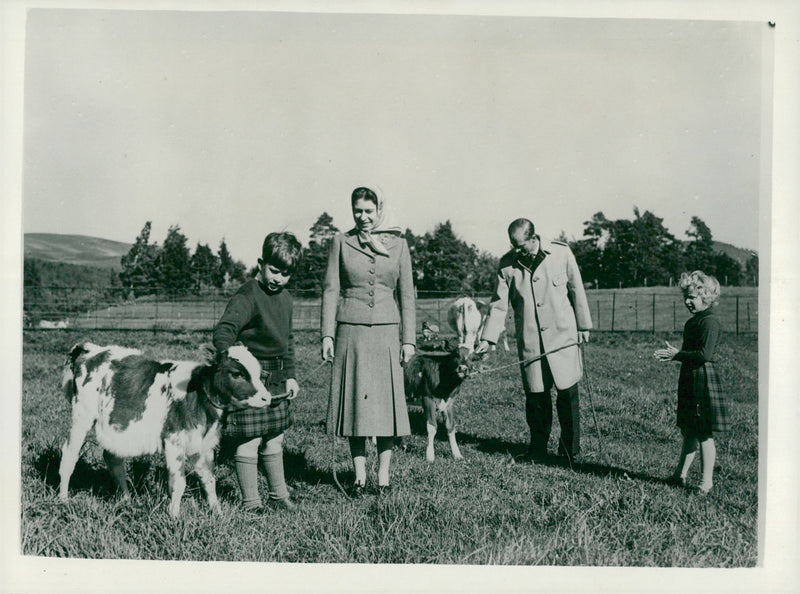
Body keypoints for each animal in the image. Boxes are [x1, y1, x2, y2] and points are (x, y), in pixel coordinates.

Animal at [58, 340, 272, 516]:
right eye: (237, 373)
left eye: (258, 372)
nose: (267, 398)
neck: (197, 397)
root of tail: (89, 348)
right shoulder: (174, 440)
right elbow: (179, 482)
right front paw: (174, 516)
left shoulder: (203, 444)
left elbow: (209, 480)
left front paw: (217, 513)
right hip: (82, 417)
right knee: (69, 455)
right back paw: (63, 499)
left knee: (113, 459)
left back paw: (126, 500)